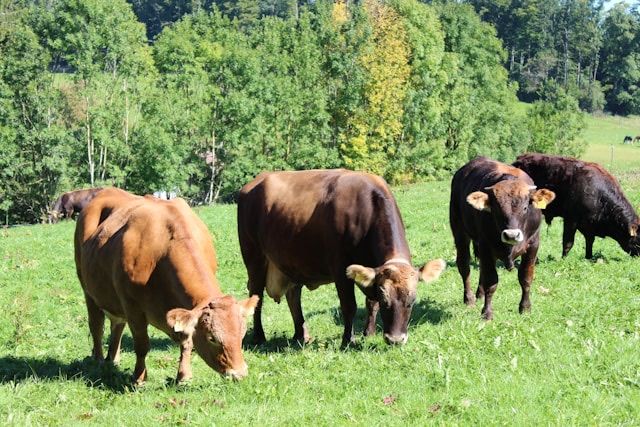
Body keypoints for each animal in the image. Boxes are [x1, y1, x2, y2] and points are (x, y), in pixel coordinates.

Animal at [74, 188, 258, 384]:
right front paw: (139, 378)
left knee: (117, 324)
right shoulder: (133, 307)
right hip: (88, 290)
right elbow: (142, 345)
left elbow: (187, 341)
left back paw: (113, 358)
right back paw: (99, 361)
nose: (239, 373)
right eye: (212, 338)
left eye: (242, 334)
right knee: (97, 326)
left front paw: (184, 376)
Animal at [237, 169, 446, 347]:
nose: (395, 340)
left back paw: (301, 335)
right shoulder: (340, 269)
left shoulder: (370, 272)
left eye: (412, 301)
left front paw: (368, 333)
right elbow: (349, 306)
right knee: (256, 295)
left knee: (293, 295)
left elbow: (371, 304)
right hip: (254, 258)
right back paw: (259, 337)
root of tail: (254, 183)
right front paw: (347, 340)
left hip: (291, 261)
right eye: (386, 301)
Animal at [450, 157, 556, 320]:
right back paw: (469, 298)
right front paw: (487, 312)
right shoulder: (486, 245)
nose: (511, 235)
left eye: (525, 207)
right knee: (464, 265)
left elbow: (526, 277)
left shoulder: (533, 245)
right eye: (497, 209)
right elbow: (491, 281)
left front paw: (525, 307)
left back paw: (479, 293)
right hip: (459, 231)